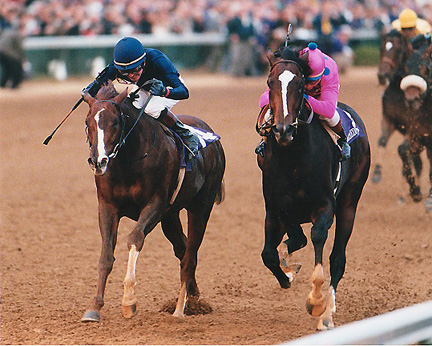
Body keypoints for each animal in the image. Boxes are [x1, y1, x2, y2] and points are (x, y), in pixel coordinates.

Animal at [79, 84, 226, 322]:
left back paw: (180, 308)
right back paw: (194, 298)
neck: (129, 160)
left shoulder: (155, 204)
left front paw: (129, 301)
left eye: (115, 122)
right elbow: (106, 256)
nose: (98, 161)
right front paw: (94, 308)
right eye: (87, 122)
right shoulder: (108, 206)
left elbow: (135, 238)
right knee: (183, 248)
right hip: (171, 217)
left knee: (190, 254)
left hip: (201, 206)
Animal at [256, 48, 372, 330]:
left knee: (337, 259)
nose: (283, 129)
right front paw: (287, 273)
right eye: (269, 82)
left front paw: (316, 302)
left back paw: (327, 315)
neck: (293, 159)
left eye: (300, 85)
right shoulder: (275, 209)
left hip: (349, 203)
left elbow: (318, 239)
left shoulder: (324, 207)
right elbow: (269, 254)